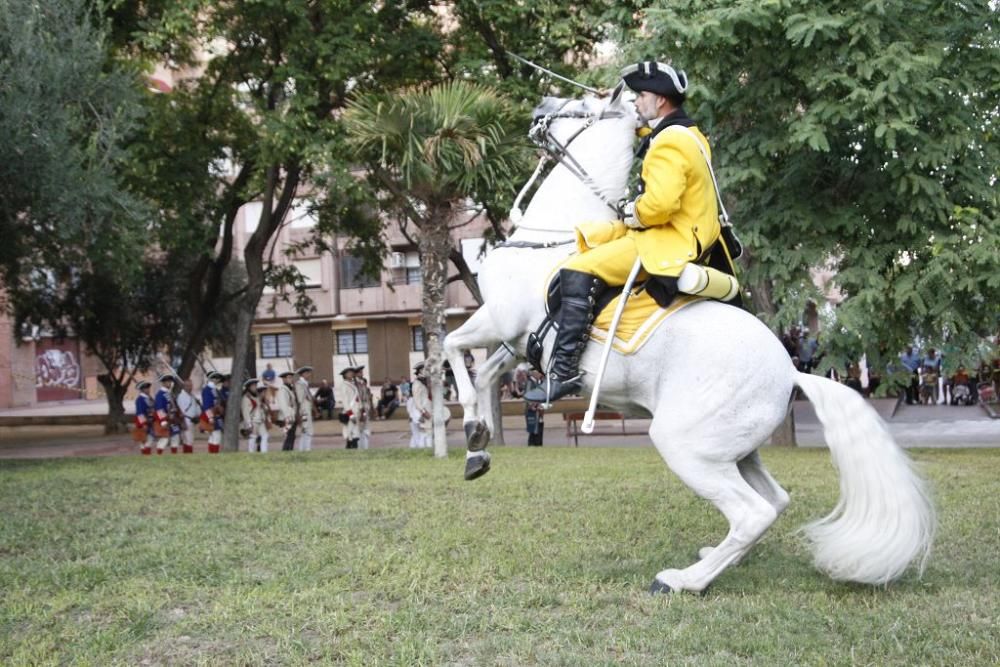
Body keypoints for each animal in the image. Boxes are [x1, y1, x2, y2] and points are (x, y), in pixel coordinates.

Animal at [442, 91, 932, 592]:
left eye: (581, 104)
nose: (541, 105)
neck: (552, 238)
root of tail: (791, 370)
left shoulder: (498, 319)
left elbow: (451, 347)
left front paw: (473, 428)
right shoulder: (518, 342)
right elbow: (484, 374)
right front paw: (478, 444)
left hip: (687, 446)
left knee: (751, 513)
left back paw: (682, 581)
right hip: (734, 451)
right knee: (773, 503)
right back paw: (711, 561)